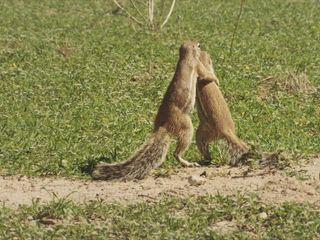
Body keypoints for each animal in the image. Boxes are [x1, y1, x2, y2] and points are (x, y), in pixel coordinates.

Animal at [92, 40, 218, 180]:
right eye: (198, 45)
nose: (201, 44)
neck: (185, 57)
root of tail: (163, 126)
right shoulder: (197, 66)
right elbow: (208, 76)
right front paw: (216, 80)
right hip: (186, 127)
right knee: (177, 152)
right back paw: (188, 163)